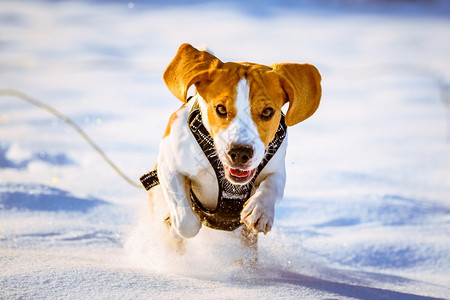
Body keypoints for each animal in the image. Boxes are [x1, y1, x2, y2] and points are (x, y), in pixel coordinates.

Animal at [141, 43, 320, 258]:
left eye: (267, 111)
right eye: (221, 109)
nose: (240, 152)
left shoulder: (276, 167)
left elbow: (273, 184)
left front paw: (260, 210)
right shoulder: (169, 166)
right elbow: (186, 221)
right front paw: (173, 226)